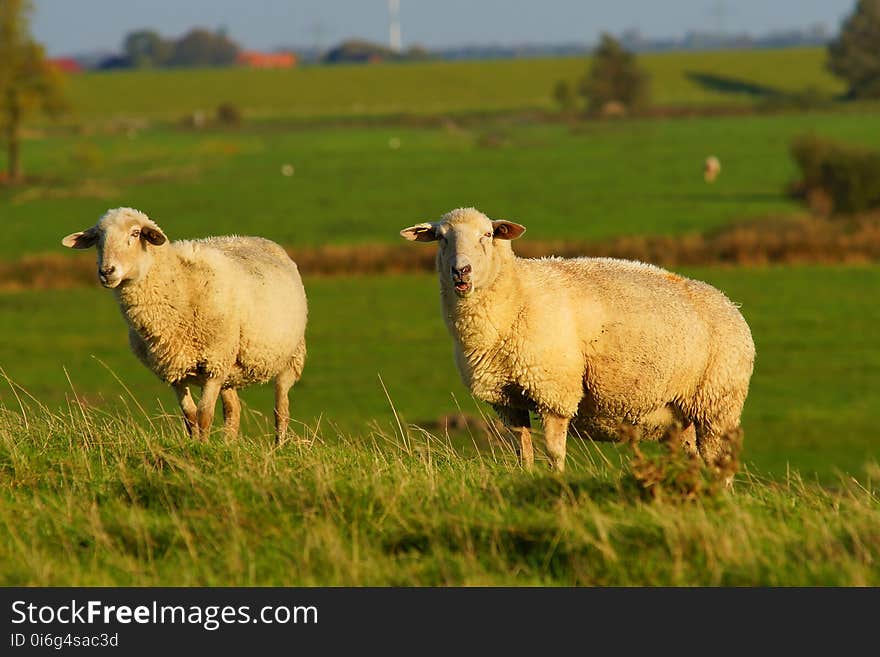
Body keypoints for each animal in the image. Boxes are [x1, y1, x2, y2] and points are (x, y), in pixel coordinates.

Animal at [60, 205, 308, 444]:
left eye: (136, 233)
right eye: (98, 238)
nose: (106, 271)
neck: (180, 284)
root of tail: (258, 239)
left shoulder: (213, 365)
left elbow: (204, 414)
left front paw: (203, 448)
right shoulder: (174, 368)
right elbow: (189, 416)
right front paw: (195, 443)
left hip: (289, 357)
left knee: (281, 410)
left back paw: (278, 447)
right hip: (230, 367)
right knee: (233, 410)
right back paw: (229, 445)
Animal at [402, 208, 752, 474]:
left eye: (487, 235)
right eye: (441, 237)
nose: (461, 271)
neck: (517, 296)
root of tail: (731, 305)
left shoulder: (554, 390)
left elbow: (554, 451)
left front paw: (556, 481)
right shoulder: (507, 399)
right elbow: (522, 451)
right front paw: (527, 477)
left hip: (719, 403)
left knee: (719, 461)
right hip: (682, 415)